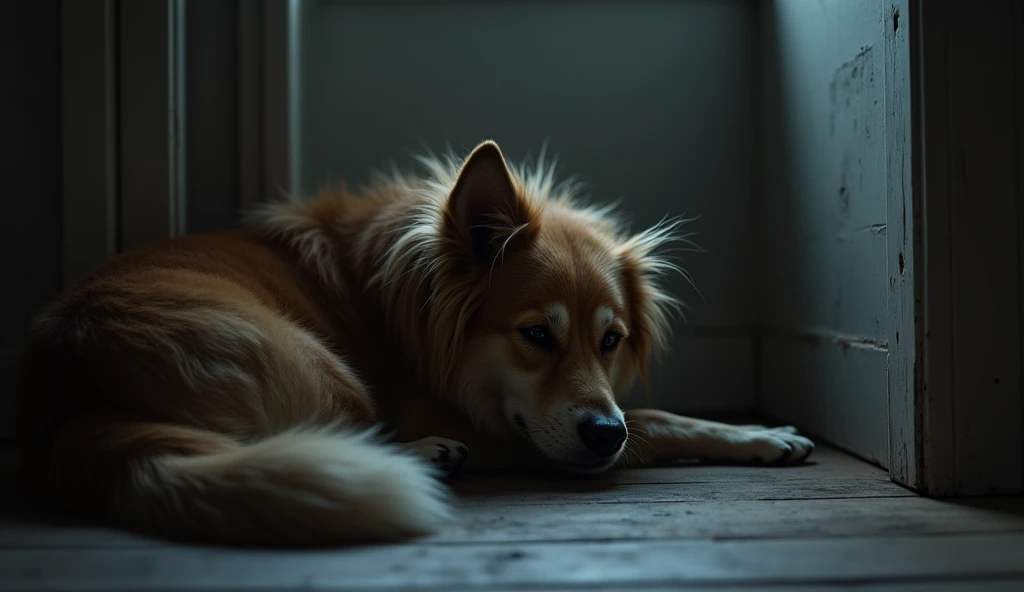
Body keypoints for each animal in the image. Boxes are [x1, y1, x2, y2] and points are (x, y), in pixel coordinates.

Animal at [14, 139, 815, 544]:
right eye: (536, 335)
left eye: (611, 340)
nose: (601, 436)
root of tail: (80, 397)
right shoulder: (498, 425)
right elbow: (652, 417)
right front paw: (762, 433)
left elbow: (648, 411)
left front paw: (762, 436)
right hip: (324, 365)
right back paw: (428, 456)